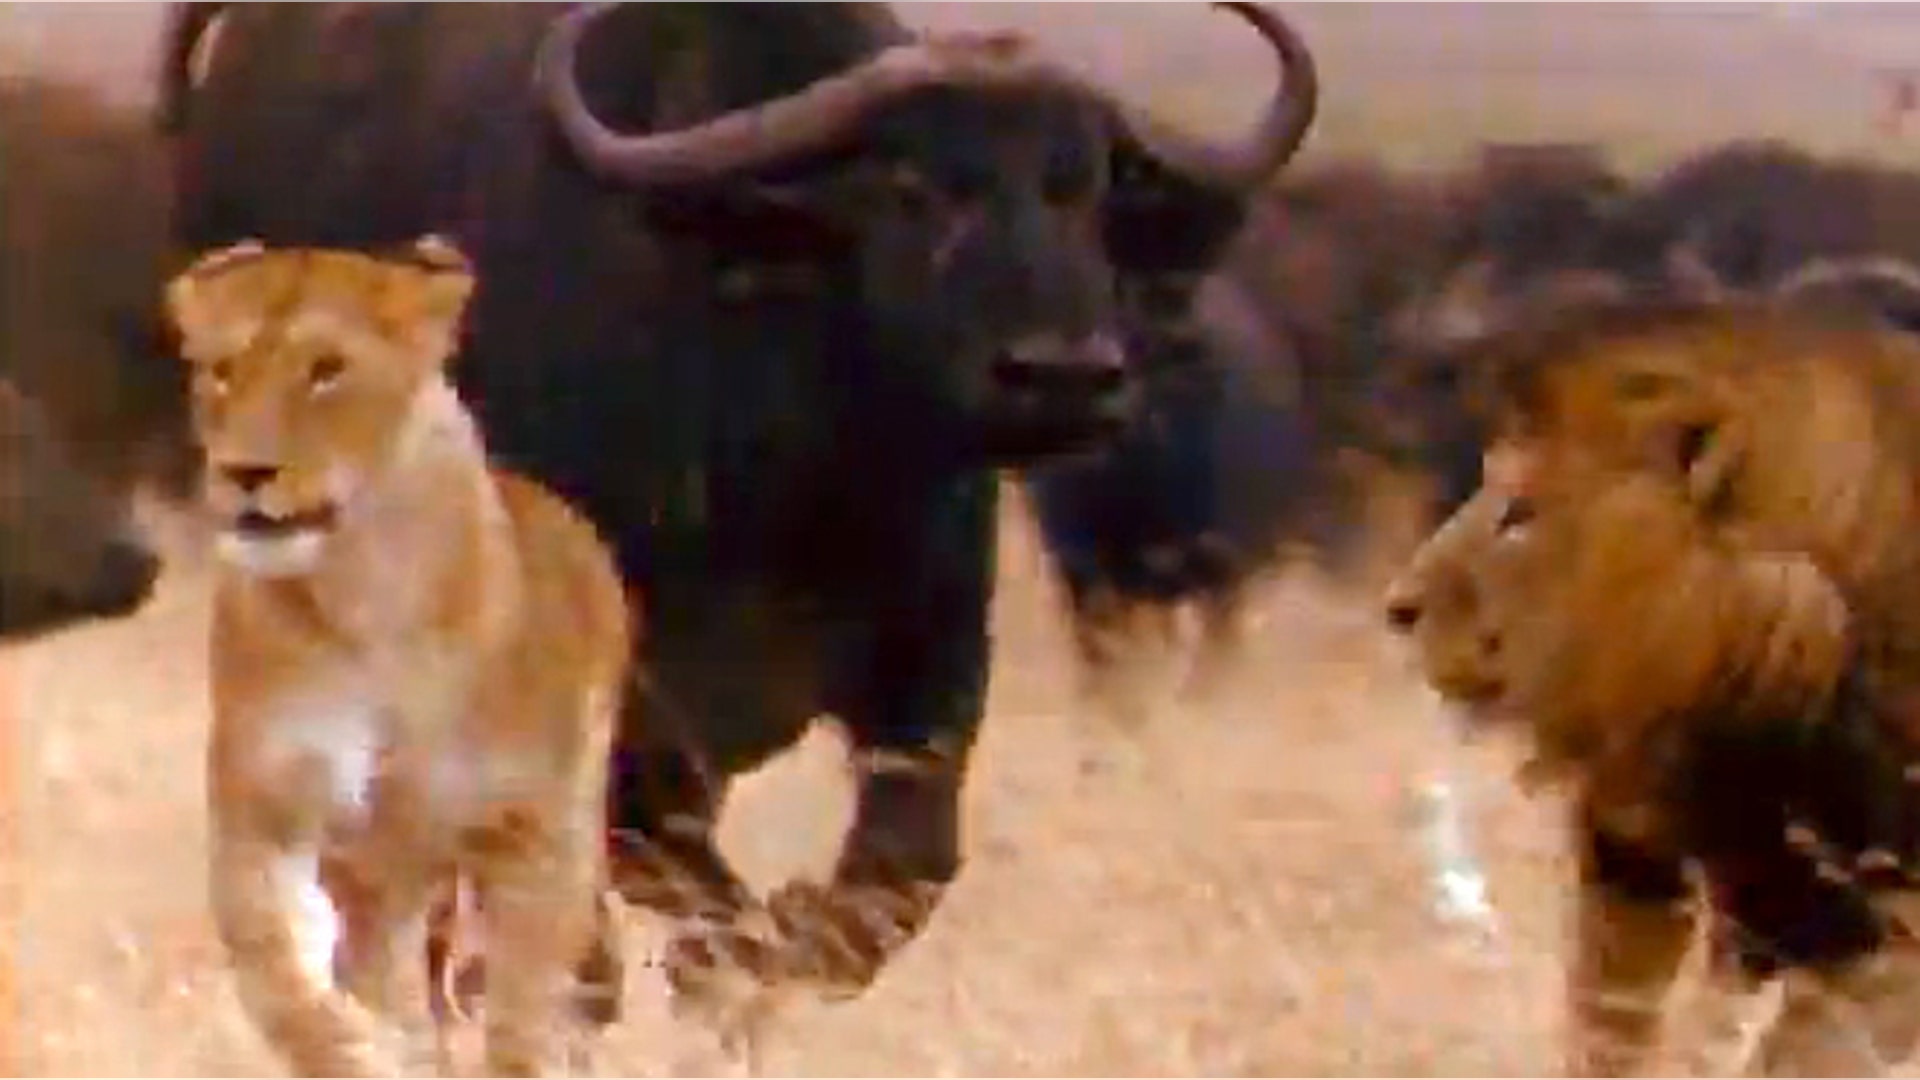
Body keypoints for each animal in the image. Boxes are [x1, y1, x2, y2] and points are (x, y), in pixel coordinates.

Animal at [159, 0, 1319, 1011]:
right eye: (912, 184)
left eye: (1084, 187)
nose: (1067, 372)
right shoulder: (619, 717)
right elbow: (652, 890)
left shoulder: (934, 664)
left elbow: (898, 874)